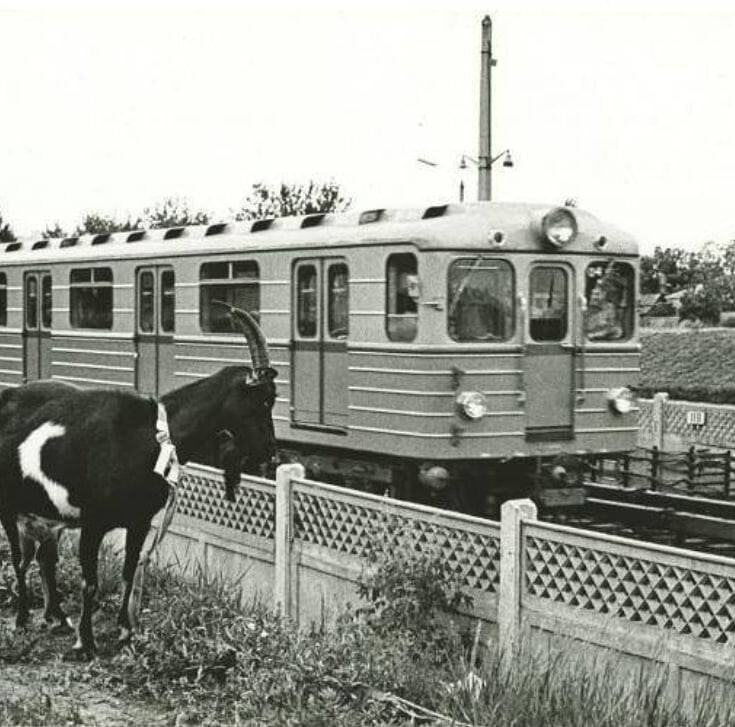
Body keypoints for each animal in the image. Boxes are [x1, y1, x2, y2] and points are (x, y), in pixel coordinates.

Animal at [0, 304, 276, 656]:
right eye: (262, 401)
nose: (271, 453)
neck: (153, 436)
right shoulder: (93, 521)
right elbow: (90, 582)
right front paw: (86, 642)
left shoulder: (139, 521)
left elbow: (129, 571)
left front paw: (126, 631)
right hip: (9, 506)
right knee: (19, 560)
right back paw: (23, 619)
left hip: (44, 512)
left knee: (43, 557)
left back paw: (57, 617)